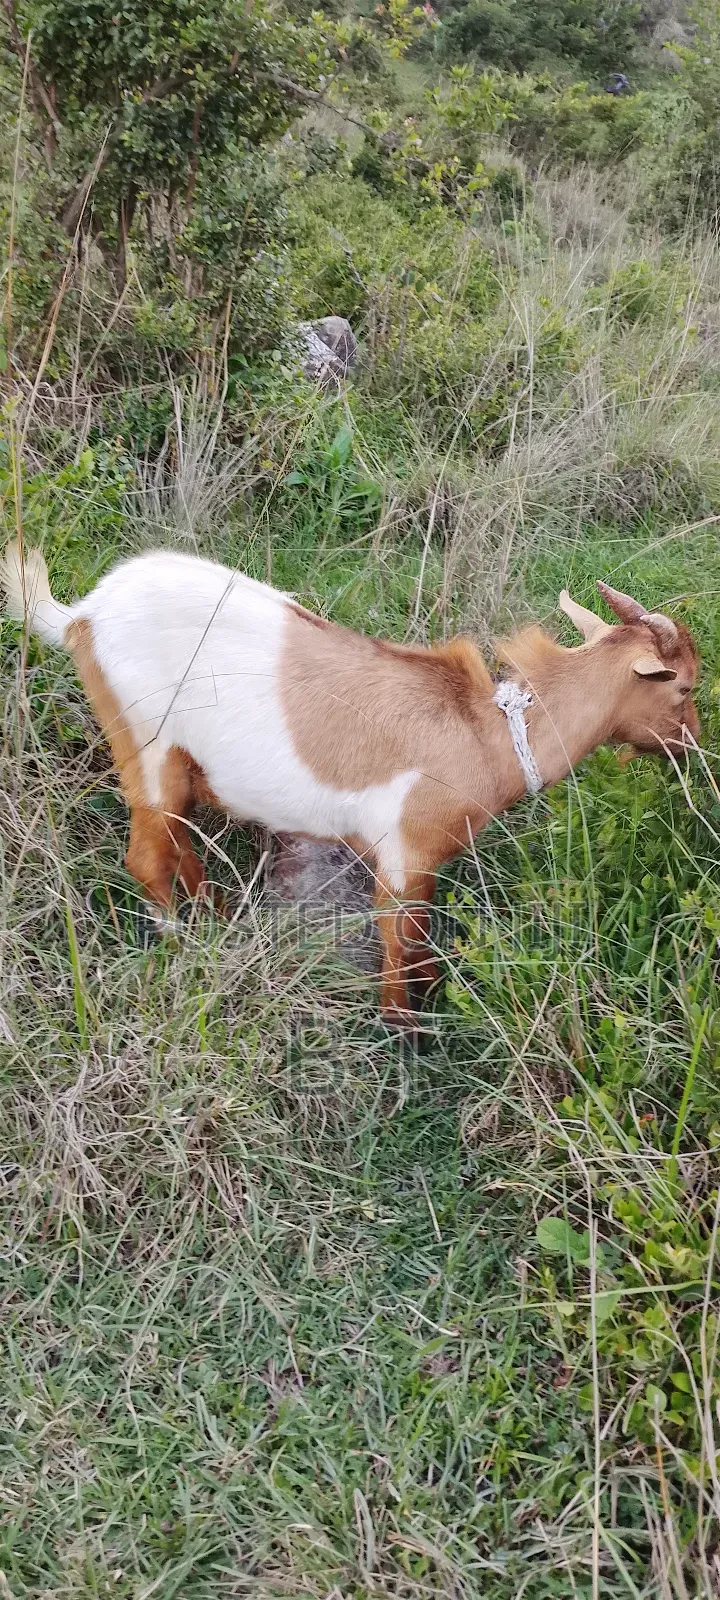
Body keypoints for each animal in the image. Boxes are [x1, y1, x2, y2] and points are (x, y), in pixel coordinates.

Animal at [1, 543, 700, 1031]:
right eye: (685, 686)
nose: (691, 747)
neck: (489, 734)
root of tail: (82, 615)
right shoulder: (406, 854)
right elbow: (401, 936)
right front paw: (403, 1029)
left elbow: (420, 934)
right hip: (147, 746)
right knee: (147, 854)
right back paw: (182, 942)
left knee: (178, 842)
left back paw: (217, 916)